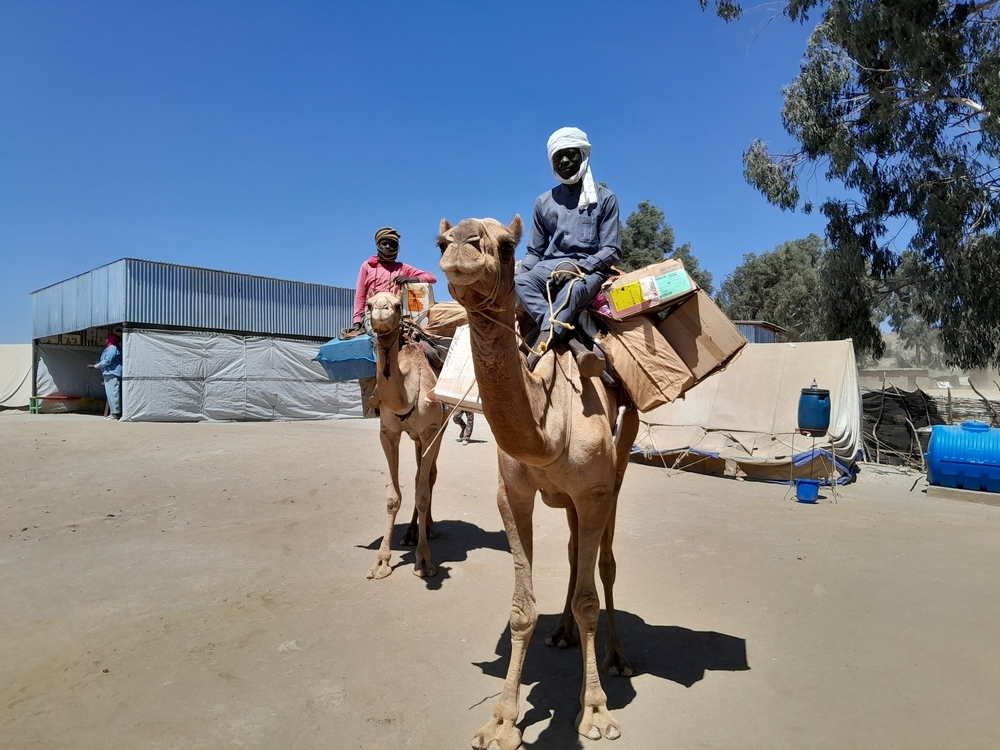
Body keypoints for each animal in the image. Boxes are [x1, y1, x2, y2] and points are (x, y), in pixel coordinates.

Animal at [366, 290, 444, 580]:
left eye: (399, 305)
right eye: (369, 303)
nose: (381, 309)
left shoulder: (431, 431)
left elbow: (422, 493)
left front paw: (423, 561)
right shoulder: (388, 433)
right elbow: (393, 496)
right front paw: (381, 563)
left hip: (437, 431)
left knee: (429, 476)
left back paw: (428, 529)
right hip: (416, 438)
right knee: (420, 475)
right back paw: (411, 533)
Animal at [438, 214, 640, 748]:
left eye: (507, 246)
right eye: (441, 241)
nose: (462, 244)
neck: (549, 426)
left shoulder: (593, 493)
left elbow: (591, 598)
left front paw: (595, 713)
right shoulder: (513, 495)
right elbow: (522, 608)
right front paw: (501, 723)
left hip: (617, 471)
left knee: (605, 562)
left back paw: (618, 657)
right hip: (569, 500)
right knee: (573, 553)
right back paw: (562, 633)